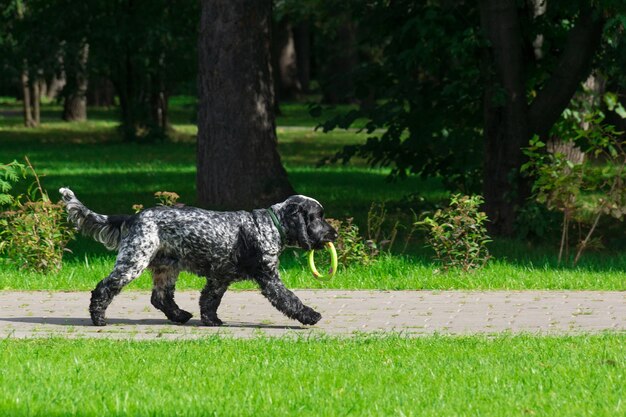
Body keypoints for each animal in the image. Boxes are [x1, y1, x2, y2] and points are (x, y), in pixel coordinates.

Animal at [58, 187, 336, 326]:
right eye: (318, 216)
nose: (334, 233)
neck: (271, 225)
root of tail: (134, 217)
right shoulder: (269, 278)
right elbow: (290, 300)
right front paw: (311, 316)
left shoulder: (220, 277)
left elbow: (209, 301)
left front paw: (211, 321)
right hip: (133, 261)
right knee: (104, 288)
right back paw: (98, 319)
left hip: (166, 267)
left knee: (160, 297)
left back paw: (180, 316)